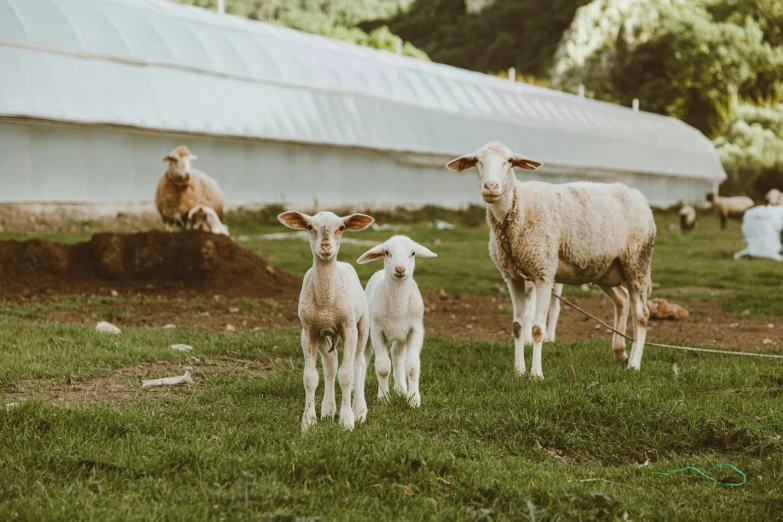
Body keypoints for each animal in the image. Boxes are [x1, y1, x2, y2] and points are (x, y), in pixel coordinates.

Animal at [278, 209, 376, 428]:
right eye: (309, 227)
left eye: (341, 227)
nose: (325, 247)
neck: (326, 303)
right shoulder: (308, 330)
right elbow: (310, 377)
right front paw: (308, 420)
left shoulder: (349, 327)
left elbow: (347, 375)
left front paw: (347, 421)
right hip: (324, 333)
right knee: (331, 363)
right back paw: (328, 410)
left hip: (362, 325)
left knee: (359, 364)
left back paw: (359, 410)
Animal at [358, 235, 438, 406]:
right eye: (387, 252)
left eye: (413, 253)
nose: (400, 269)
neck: (398, 307)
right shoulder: (377, 331)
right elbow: (382, 367)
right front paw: (383, 399)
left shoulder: (415, 330)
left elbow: (413, 366)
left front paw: (414, 399)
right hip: (367, 331)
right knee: (365, 357)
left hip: (401, 335)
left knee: (397, 355)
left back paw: (401, 390)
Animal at [448, 142, 656, 378]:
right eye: (476, 160)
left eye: (510, 161)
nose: (491, 187)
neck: (516, 210)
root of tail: (639, 198)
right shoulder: (512, 277)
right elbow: (518, 326)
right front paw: (518, 370)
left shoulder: (543, 273)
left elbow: (537, 328)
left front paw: (536, 374)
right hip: (605, 268)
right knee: (621, 300)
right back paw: (619, 352)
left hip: (637, 262)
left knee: (642, 315)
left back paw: (634, 364)